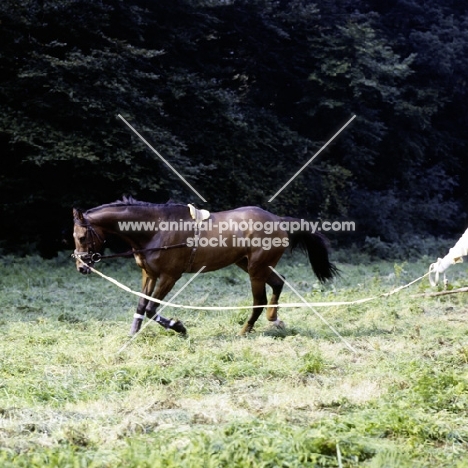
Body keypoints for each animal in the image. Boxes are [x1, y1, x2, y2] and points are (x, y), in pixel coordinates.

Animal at [72, 197, 336, 336]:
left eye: (82, 237)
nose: (81, 267)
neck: (156, 230)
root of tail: (278, 220)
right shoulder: (149, 274)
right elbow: (141, 305)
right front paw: (133, 334)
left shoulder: (170, 276)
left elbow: (151, 308)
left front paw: (178, 327)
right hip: (253, 265)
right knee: (278, 283)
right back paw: (274, 318)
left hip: (256, 269)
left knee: (259, 299)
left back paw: (246, 329)